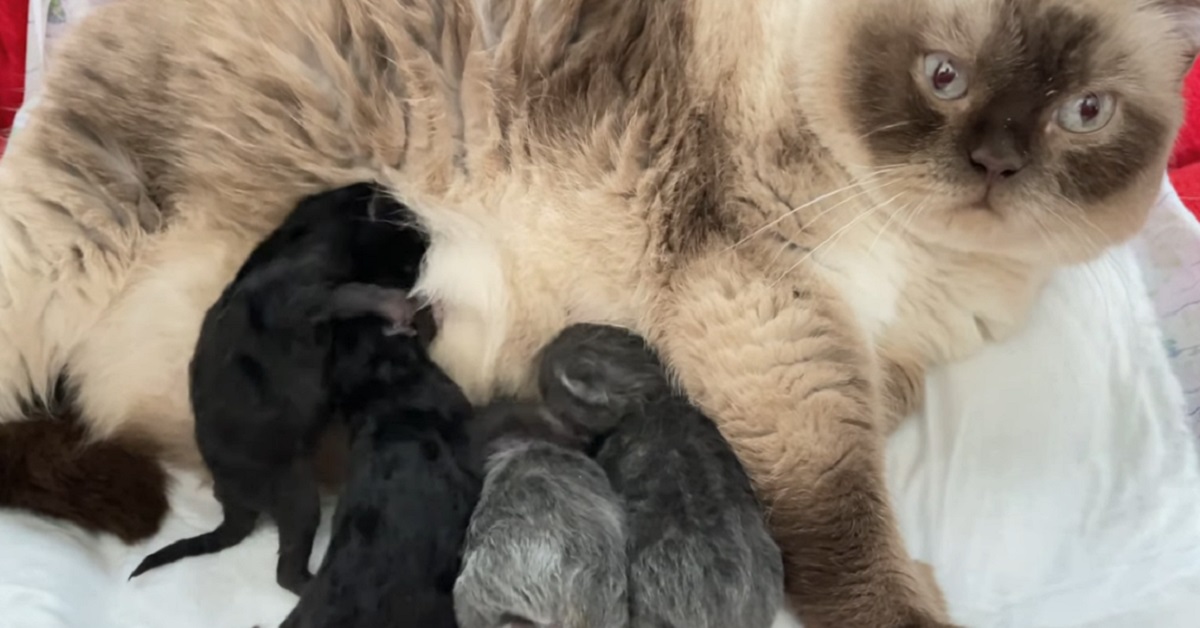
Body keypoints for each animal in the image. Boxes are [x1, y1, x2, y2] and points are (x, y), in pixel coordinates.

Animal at [125, 182, 427, 595]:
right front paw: (399, 305)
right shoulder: (304, 295)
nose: (428, 253)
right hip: (296, 491)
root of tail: (232, 506)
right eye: (411, 251)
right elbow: (354, 292)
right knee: (287, 571)